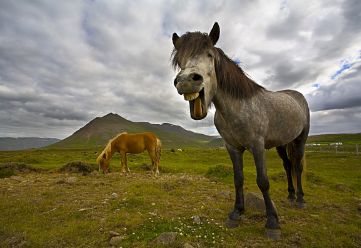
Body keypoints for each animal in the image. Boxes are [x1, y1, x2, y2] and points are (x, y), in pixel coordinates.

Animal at [172, 22, 310, 239]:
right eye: (179, 61)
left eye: (209, 55)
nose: (186, 81)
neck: (237, 107)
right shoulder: (232, 147)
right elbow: (238, 179)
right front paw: (237, 213)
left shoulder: (257, 146)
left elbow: (263, 181)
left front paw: (272, 222)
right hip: (282, 143)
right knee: (288, 166)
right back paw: (290, 194)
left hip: (301, 139)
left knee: (297, 166)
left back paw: (300, 199)